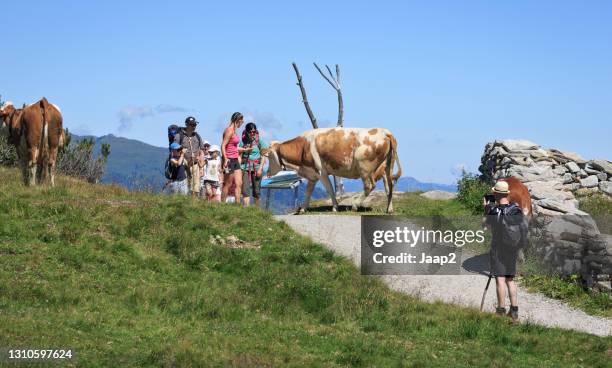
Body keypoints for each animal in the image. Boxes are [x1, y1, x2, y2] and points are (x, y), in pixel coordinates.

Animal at [266, 127, 402, 211]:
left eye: (269, 157)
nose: (267, 173)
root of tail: (385, 131)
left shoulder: (321, 172)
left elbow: (330, 189)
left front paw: (335, 207)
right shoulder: (312, 174)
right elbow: (308, 192)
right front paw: (303, 209)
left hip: (365, 168)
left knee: (370, 186)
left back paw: (355, 206)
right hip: (387, 168)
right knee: (389, 187)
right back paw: (389, 209)